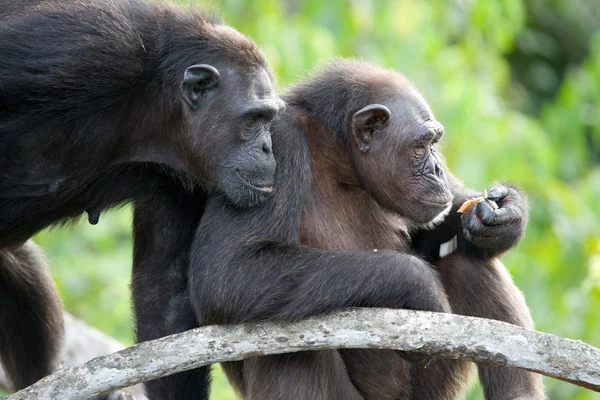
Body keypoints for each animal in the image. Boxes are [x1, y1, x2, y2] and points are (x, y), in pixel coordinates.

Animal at [0, 0, 284, 396]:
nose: (268, 147)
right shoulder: (81, 47)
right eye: (254, 118)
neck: (154, 103)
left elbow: (164, 299)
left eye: (270, 118)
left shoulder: (187, 181)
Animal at [132, 61, 544, 398]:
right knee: (287, 348)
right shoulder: (275, 148)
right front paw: (418, 285)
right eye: (422, 145)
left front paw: (505, 216)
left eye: (435, 141)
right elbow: (230, 269)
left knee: (466, 259)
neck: (340, 158)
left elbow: (434, 229)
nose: (438, 169)